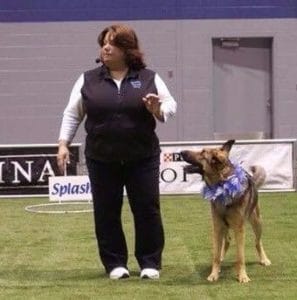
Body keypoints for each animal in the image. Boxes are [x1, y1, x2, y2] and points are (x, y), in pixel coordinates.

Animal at [180, 139, 270, 282]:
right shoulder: (217, 226)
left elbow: (240, 256)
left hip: (257, 222)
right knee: (226, 241)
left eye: (203, 152)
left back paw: (264, 259)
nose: (181, 152)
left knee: (257, 242)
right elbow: (215, 255)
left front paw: (242, 276)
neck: (222, 185)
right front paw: (214, 274)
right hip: (224, 226)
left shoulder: (239, 229)